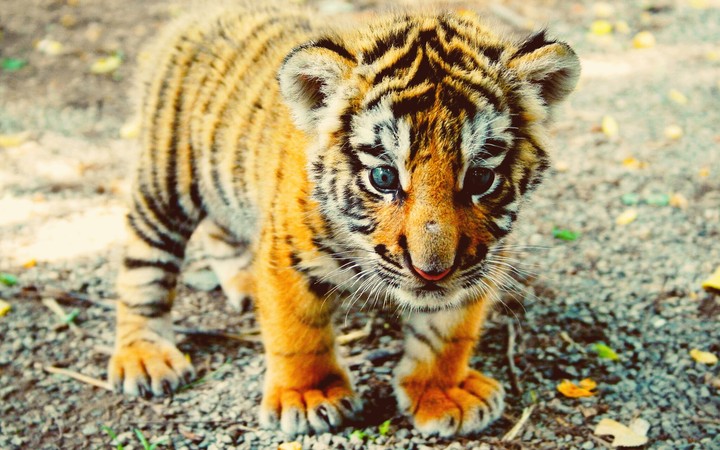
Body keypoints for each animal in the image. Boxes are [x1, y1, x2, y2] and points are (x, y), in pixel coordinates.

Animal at [108, 2, 580, 437]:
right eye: (383, 177)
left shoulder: (481, 261)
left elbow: (448, 333)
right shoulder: (287, 255)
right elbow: (298, 332)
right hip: (165, 182)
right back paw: (144, 356)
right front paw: (308, 395)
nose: (432, 271)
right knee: (142, 267)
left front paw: (442, 392)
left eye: (481, 177)